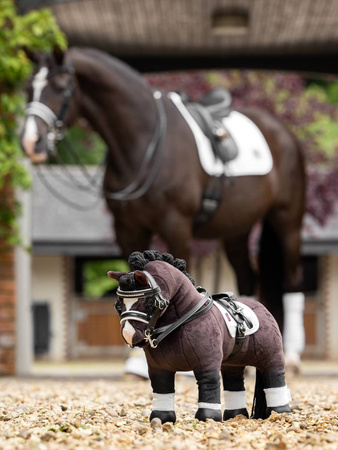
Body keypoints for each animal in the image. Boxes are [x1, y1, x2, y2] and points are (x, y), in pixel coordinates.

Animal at [20, 46, 306, 370]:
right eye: (29, 87)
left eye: (60, 87)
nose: (30, 142)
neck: (145, 144)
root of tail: (284, 133)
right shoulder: (127, 228)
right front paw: (135, 363)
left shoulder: (176, 225)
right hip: (237, 229)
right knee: (247, 276)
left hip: (287, 220)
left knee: (292, 278)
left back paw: (292, 355)